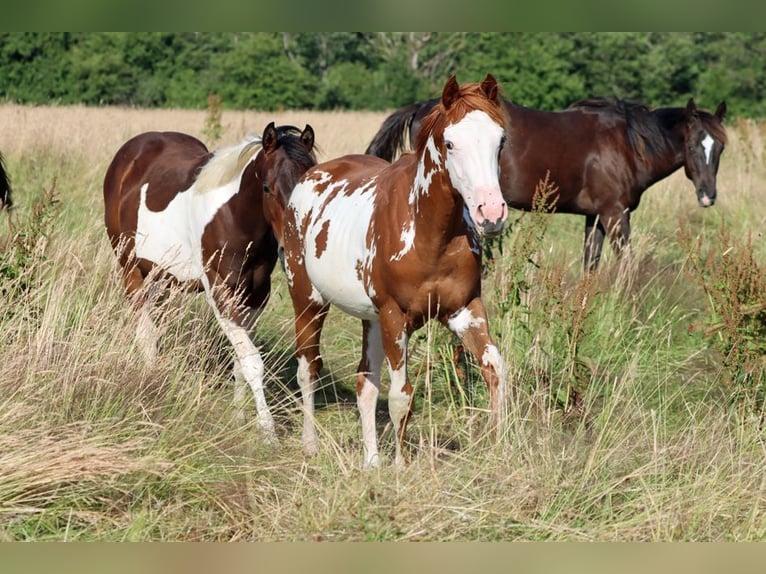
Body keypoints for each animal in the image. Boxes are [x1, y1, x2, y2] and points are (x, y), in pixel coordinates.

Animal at [103, 122, 317, 443]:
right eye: (267, 188)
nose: (290, 249)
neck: (235, 218)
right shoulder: (219, 291)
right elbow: (252, 361)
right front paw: (267, 431)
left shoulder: (255, 294)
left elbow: (241, 359)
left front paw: (239, 415)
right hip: (130, 268)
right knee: (145, 333)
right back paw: (151, 380)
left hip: (160, 275)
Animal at [281, 74, 509, 468]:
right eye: (451, 143)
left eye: (501, 140)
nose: (491, 213)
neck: (430, 234)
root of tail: (310, 176)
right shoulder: (395, 317)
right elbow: (402, 396)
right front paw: (401, 467)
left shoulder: (464, 309)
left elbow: (493, 368)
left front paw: (496, 451)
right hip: (309, 301)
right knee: (308, 370)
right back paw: (310, 444)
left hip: (370, 318)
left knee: (365, 383)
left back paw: (370, 460)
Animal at [366, 95, 727, 272]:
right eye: (693, 145)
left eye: (720, 147)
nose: (708, 196)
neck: (626, 144)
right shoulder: (615, 215)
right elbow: (626, 265)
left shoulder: (595, 216)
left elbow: (591, 265)